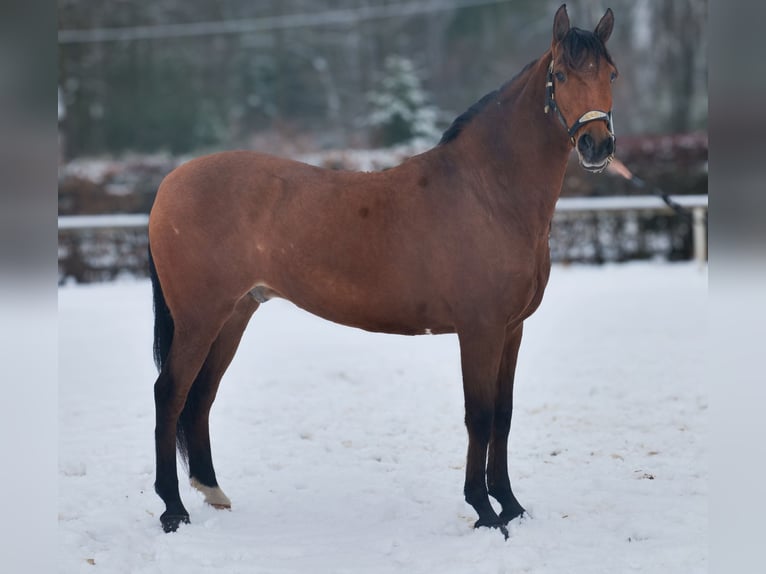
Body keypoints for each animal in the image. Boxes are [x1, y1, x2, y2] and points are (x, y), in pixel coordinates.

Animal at [148, 4, 618, 537]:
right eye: (560, 75)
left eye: (611, 74)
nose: (597, 145)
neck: (487, 193)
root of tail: (170, 183)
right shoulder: (480, 330)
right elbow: (478, 416)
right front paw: (484, 511)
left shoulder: (511, 330)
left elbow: (504, 414)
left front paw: (512, 506)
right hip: (199, 319)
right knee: (170, 394)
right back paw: (173, 510)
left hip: (233, 316)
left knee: (201, 395)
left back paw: (212, 491)